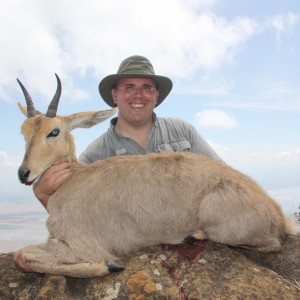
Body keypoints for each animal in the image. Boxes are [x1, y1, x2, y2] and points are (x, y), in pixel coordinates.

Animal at [15, 74, 298, 278]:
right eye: (23, 131)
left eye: (54, 131)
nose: (23, 173)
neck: (72, 179)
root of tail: (278, 216)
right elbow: (23, 255)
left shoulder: (79, 244)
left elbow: (23, 257)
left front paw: (109, 265)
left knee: (271, 244)